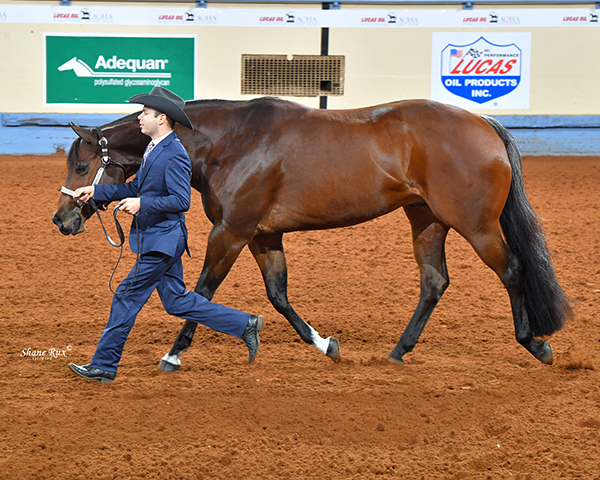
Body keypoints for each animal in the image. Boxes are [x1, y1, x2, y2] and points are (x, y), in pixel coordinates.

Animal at [52, 95, 572, 370]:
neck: (230, 143)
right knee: (434, 282)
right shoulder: (262, 235)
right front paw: (324, 344)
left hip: (476, 225)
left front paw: (175, 354)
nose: (62, 220)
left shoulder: (232, 231)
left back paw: (536, 344)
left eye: (80, 165)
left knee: (512, 269)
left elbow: (201, 291)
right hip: (426, 219)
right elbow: (278, 295)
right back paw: (398, 351)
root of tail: (483, 122)